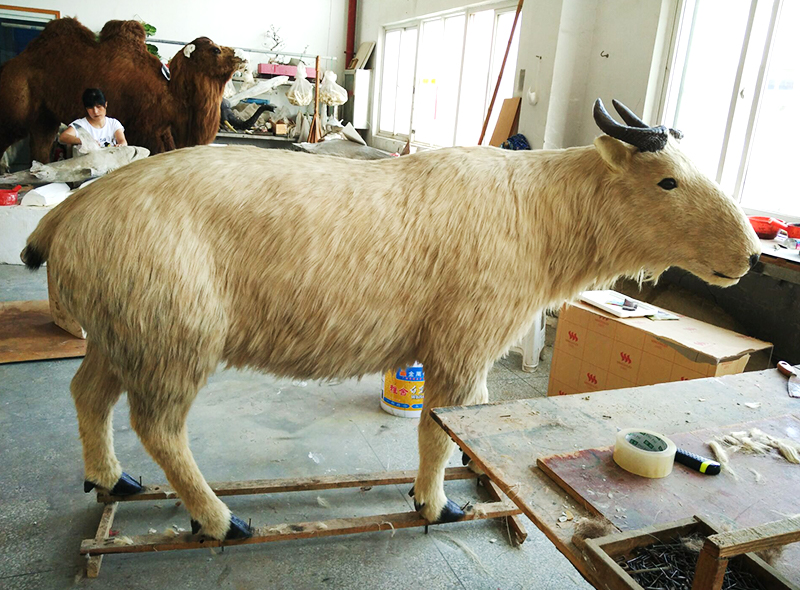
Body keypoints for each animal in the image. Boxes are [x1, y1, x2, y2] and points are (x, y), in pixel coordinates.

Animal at [0, 18, 242, 162]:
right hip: (15, 112)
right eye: (215, 49)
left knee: (40, 144)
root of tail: (9, 65)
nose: (240, 55)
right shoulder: (147, 131)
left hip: (44, 116)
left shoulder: (163, 132)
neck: (171, 92)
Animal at [21, 99, 761, 541]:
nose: (752, 255)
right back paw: (220, 518)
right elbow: (438, 429)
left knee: (86, 395)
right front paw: (434, 503)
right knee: (158, 426)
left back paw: (109, 479)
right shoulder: (460, 346)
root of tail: (73, 211)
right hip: (173, 338)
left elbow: (467, 420)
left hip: (124, 334)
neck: (540, 211)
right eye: (666, 180)